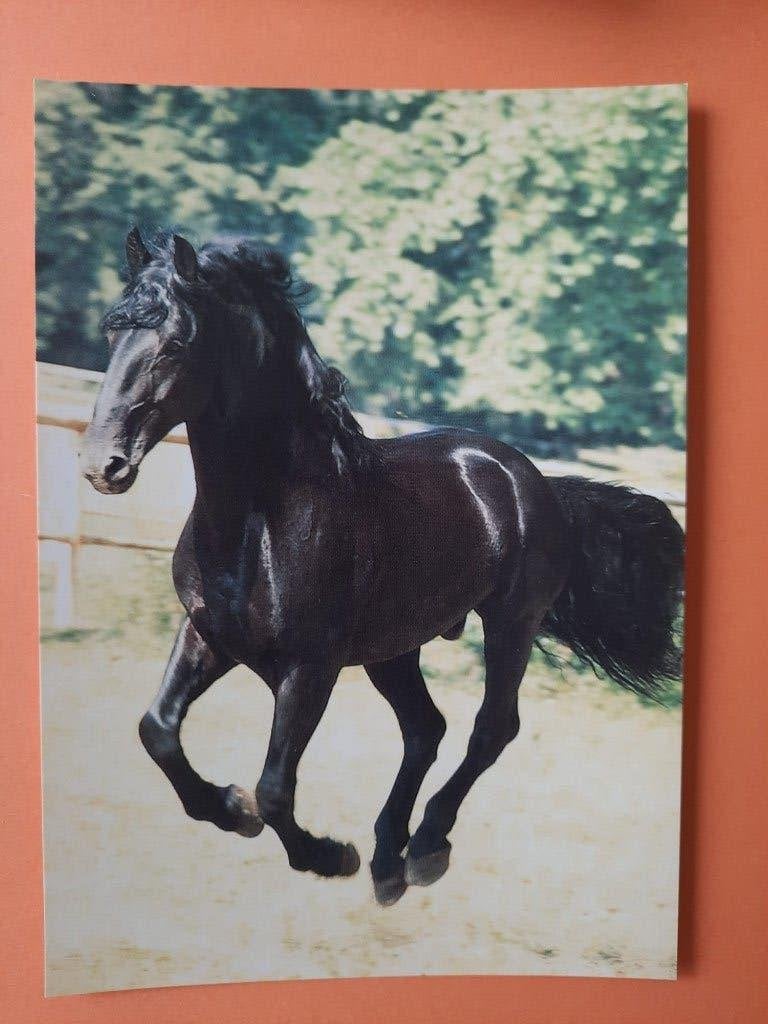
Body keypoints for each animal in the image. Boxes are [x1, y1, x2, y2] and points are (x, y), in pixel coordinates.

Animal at [81, 229, 684, 906]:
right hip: (394, 649)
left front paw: (325, 854)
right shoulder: (208, 633)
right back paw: (389, 861)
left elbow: (275, 788)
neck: (262, 520)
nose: (103, 463)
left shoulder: (310, 668)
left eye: (177, 343)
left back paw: (424, 847)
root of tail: (535, 482)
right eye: (112, 330)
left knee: (490, 729)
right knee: (426, 729)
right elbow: (157, 731)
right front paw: (229, 810)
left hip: (510, 625)